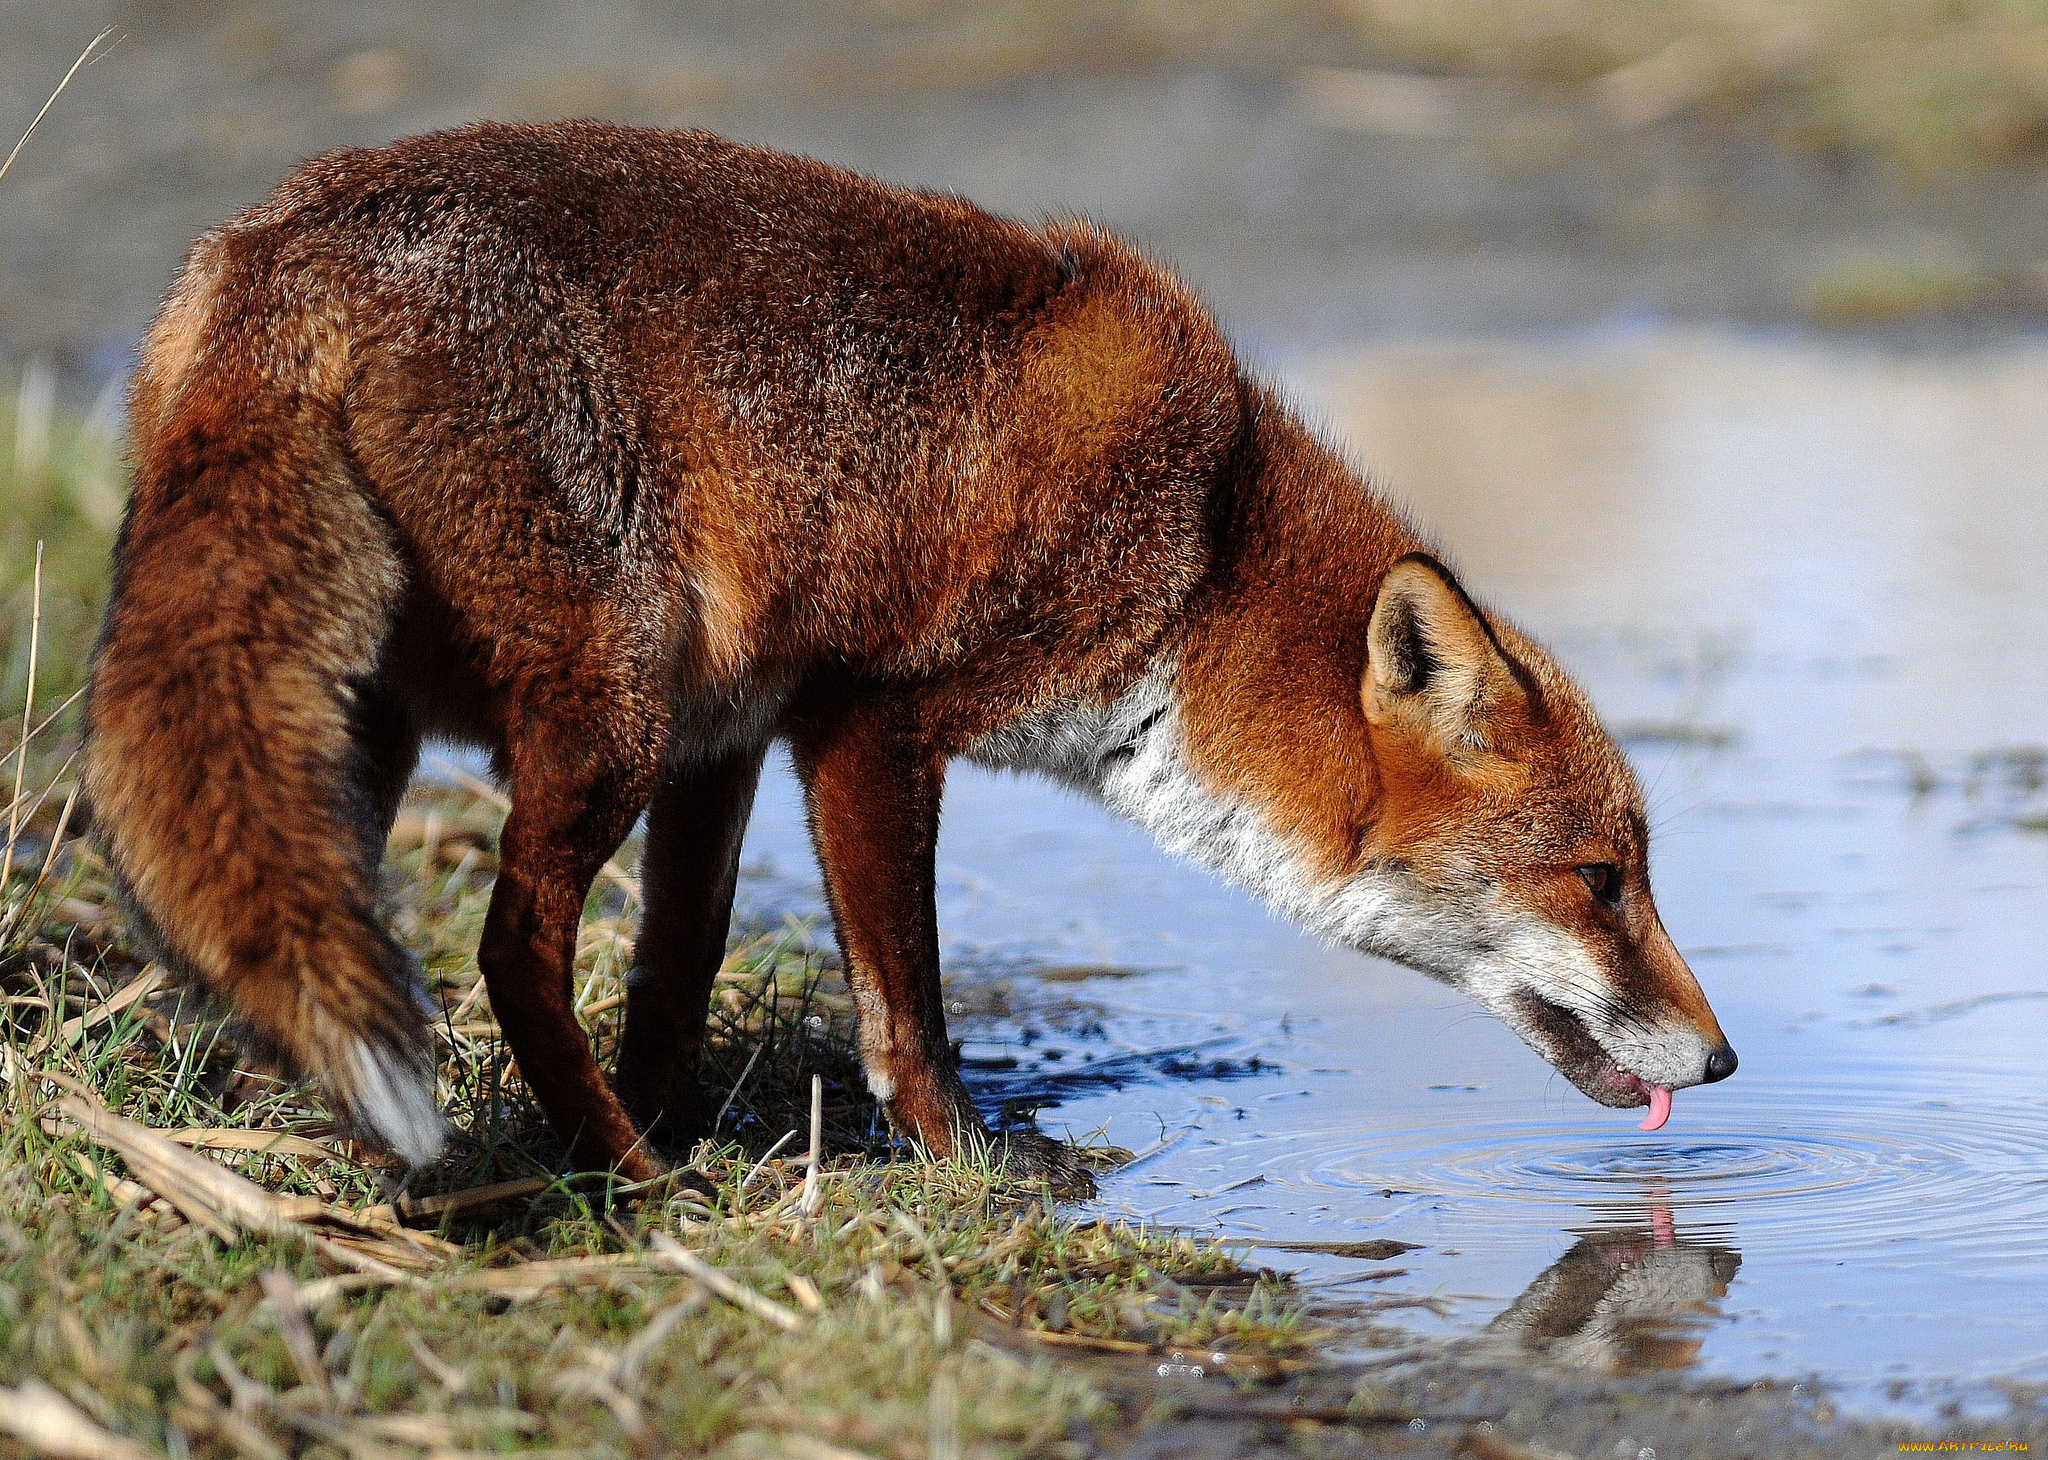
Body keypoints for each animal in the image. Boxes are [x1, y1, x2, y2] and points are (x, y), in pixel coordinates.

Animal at [88, 119, 1736, 1179]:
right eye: (1602, 882)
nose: (1724, 1064)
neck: (1204, 539)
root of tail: (282, 250)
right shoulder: (867, 724)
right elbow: (910, 1006)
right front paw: (967, 1168)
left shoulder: (731, 729)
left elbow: (678, 964)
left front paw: (686, 1117)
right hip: (606, 714)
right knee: (506, 951)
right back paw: (623, 1182)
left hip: (378, 728)